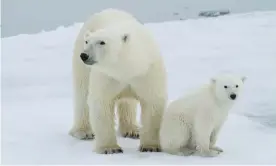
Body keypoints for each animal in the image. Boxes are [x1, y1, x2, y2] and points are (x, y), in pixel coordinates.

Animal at [70, 8, 167, 154]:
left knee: (127, 103)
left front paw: (150, 146)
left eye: (102, 42)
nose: (84, 55)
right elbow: (101, 103)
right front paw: (110, 148)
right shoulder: (107, 76)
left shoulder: (147, 73)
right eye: (87, 42)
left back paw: (132, 130)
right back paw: (84, 132)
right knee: (82, 94)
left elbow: (152, 102)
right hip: (81, 66)